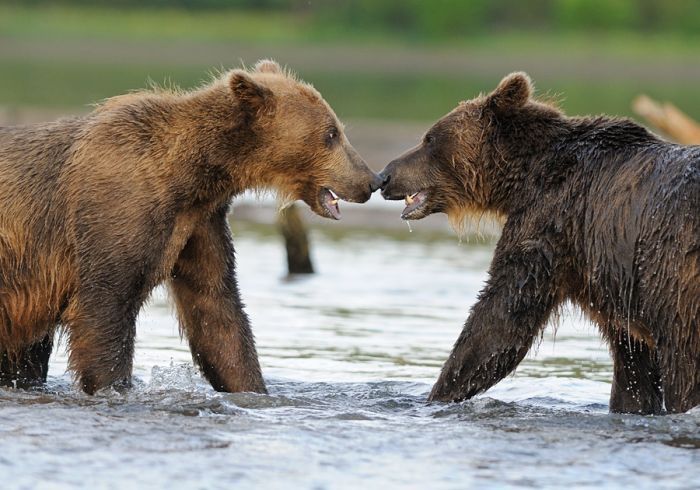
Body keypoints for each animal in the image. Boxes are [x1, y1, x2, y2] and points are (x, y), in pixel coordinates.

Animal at [0, 60, 382, 394]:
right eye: (331, 133)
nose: (371, 180)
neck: (192, 177)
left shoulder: (198, 225)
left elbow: (217, 311)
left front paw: (255, 390)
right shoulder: (114, 215)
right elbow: (104, 310)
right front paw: (113, 387)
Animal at [380, 72, 696, 414]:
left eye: (430, 138)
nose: (385, 175)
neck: (522, 178)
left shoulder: (550, 224)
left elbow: (500, 321)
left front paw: (433, 396)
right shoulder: (611, 279)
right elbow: (633, 368)